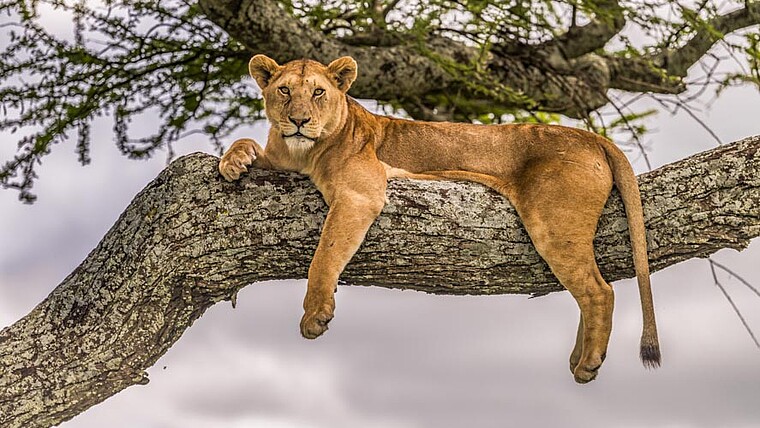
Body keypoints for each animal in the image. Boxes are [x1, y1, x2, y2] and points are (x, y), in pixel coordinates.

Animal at [218, 54, 661, 383]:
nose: (298, 120)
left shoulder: (362, 194)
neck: (302, 153)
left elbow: (324, 256)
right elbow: (246, 141)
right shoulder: (282, 160)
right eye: (284, 90)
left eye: (318, 93)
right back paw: (579, 356)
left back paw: (587, 363)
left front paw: (315, 315)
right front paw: (232, 161)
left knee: (599, 291)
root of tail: (592, 137)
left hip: (554, 225)